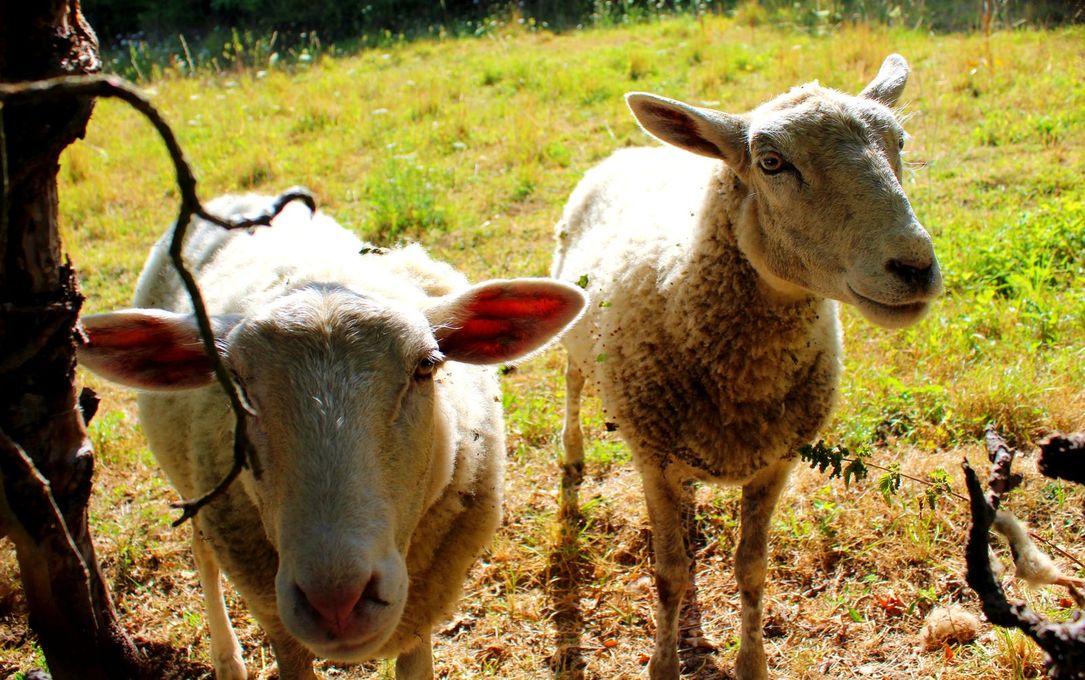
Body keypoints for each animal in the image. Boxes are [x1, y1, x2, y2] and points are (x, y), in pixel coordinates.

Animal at [78, 194, 585, 676]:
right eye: (235, 382)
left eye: (425, 365)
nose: (336, 603)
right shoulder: (279, 621)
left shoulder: (421, 608)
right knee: (203, 555)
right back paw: (228, 661)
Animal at [551, 55, 941, 676]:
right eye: (772, 162)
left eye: (898, 142)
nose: (915, 266)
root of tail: (632, 151)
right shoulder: (651, 460)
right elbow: (670, 574)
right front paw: (664, 663)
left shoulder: (775, 462)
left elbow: (751, 569)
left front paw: (751, 661)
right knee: (571, 380)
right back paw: (572, 452)